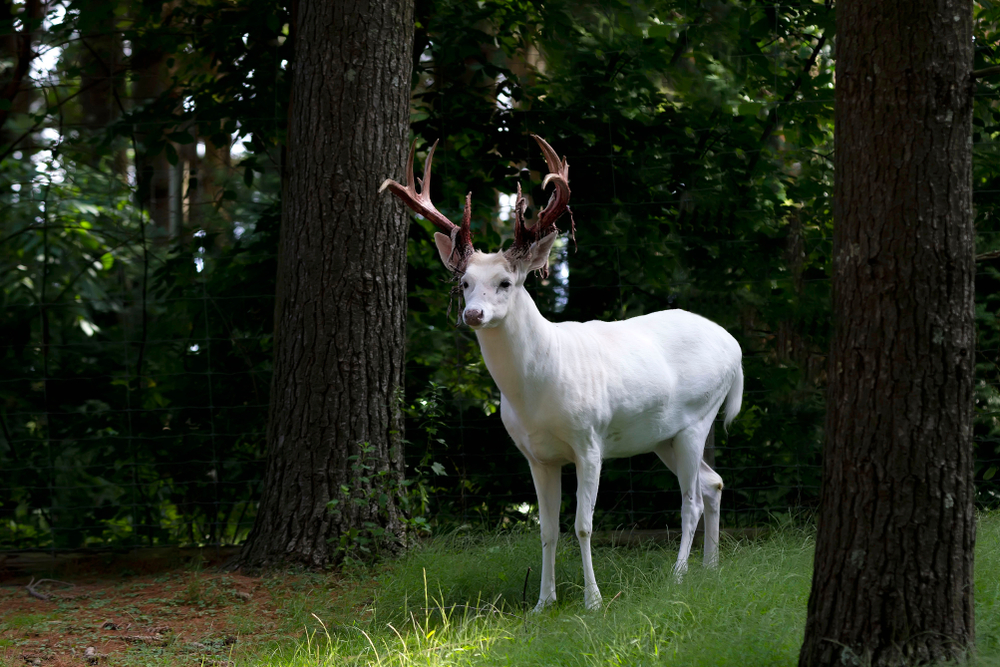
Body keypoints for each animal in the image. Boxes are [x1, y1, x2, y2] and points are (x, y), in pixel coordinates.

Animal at [380, 135, 743, 612]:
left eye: (506, 282)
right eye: (464, 283)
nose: (473, 314)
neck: (536, 391)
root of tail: (735, 347)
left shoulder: (589, 442)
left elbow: (583, 526)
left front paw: (593, 601)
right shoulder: (536, 456)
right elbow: (547, 530)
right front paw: (542, 603)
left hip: (697, 419)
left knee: (691, 501)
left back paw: (680, 574)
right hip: (662, 435)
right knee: (713, 482)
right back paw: (711, 567)